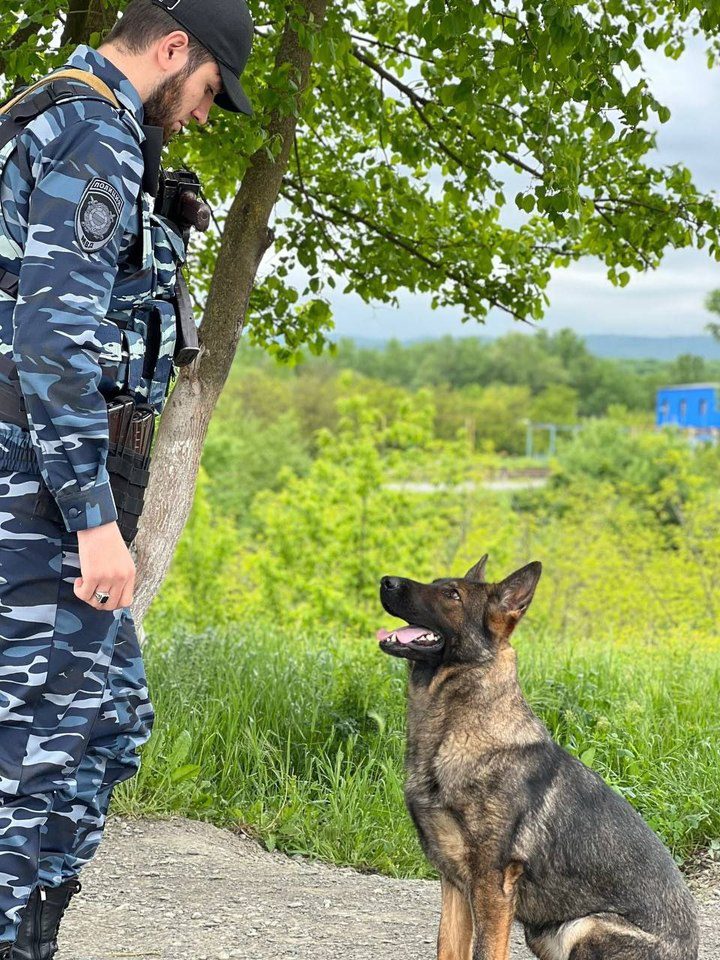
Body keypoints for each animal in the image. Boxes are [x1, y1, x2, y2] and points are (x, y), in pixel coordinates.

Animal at [376, 556, 696, 960]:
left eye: (452, 594)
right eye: (436, 582)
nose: (385, 581)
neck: (453, 732)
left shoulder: (492, 885)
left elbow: (485, 952)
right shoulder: (453, 883)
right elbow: (447, 948)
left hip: (583, 926)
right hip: (544, 934)